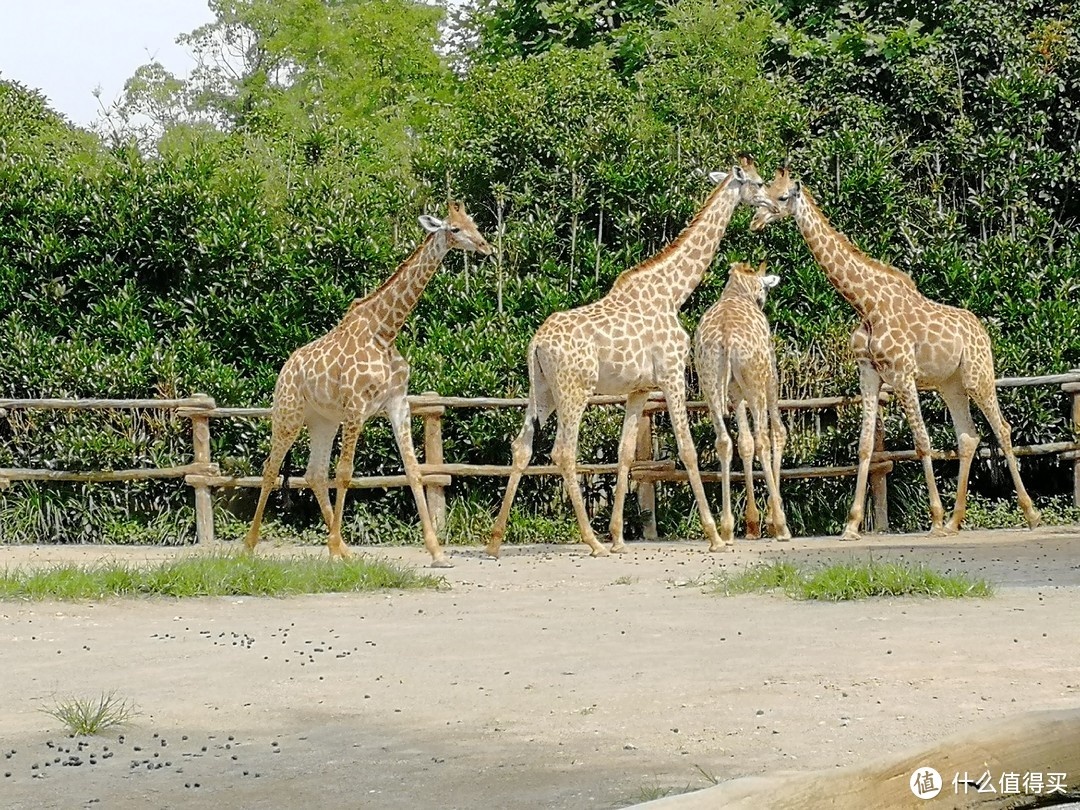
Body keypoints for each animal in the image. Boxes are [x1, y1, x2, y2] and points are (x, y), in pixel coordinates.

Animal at [246, 201, 494, 565]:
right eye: (454, 228)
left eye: (473, 223)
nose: (485, 246)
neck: (385, 331)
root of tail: (285, 368)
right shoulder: (356, 405)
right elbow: (346, 472)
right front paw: (332, 546)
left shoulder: (397, 403)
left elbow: (414, 470)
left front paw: (436, 551)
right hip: (288, 413)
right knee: (270, 467)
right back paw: (250, 546)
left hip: (323, 420)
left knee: (314, 473)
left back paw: (345, 549)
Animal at [490, 159, 777, 565]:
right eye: (757, 182)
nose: (774, 203)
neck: (672, 291)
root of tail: (536, 343)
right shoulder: (672, 373)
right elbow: (688, 450)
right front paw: (714, 535)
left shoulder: (639, 390)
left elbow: (625, 455)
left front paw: (618, 537)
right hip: (574, 390)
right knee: (563, 452)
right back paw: (590, 542)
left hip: (542, 391)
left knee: (522, 447)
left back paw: (495, 540)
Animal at [691, 260, 794, 546]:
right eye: (765, 287)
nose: (763, 301)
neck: (737, 291)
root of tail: (726, 337)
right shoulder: (770, 378)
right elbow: (777, 433)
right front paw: (770, 520)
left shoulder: (736, 393)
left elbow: (744, 443)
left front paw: (752, 523)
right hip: (756, 381)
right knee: (763, 439)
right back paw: (781, 526)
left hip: (710, 384)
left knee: (724, 442)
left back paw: (726, 530)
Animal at [747, 169, 1041, 540]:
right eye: (764, 190)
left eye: (783, 196)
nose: (756, 220)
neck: (866, 303)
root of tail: (982, 330)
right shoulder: (869, 374)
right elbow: (864, 445)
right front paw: (852, 524)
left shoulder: (902, 373)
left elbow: (922, 441)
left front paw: (935, 520)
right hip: (950, 385)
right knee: (968, 436)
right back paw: (957, 521)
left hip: (977, 375)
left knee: (1001, 428)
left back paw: (1029, 514)